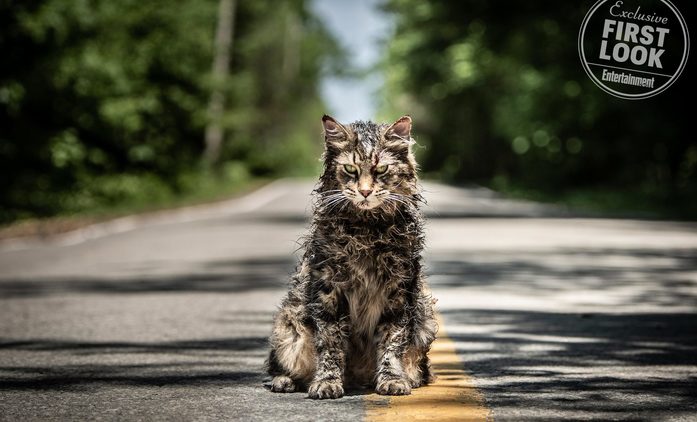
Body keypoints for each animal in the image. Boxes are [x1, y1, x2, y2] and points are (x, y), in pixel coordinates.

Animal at [266, 114, 436, 398]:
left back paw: (406, 378)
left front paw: (392, 379)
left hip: (425, 319)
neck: (367, 231)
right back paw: (285, 381)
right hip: (289, 325)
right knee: (280, 365)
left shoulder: (399, 291)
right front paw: (327, 382)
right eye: (350, 170)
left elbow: (391, 342)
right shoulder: (328, 290)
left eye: (381, 170)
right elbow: (331, 343)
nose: (365, 192)